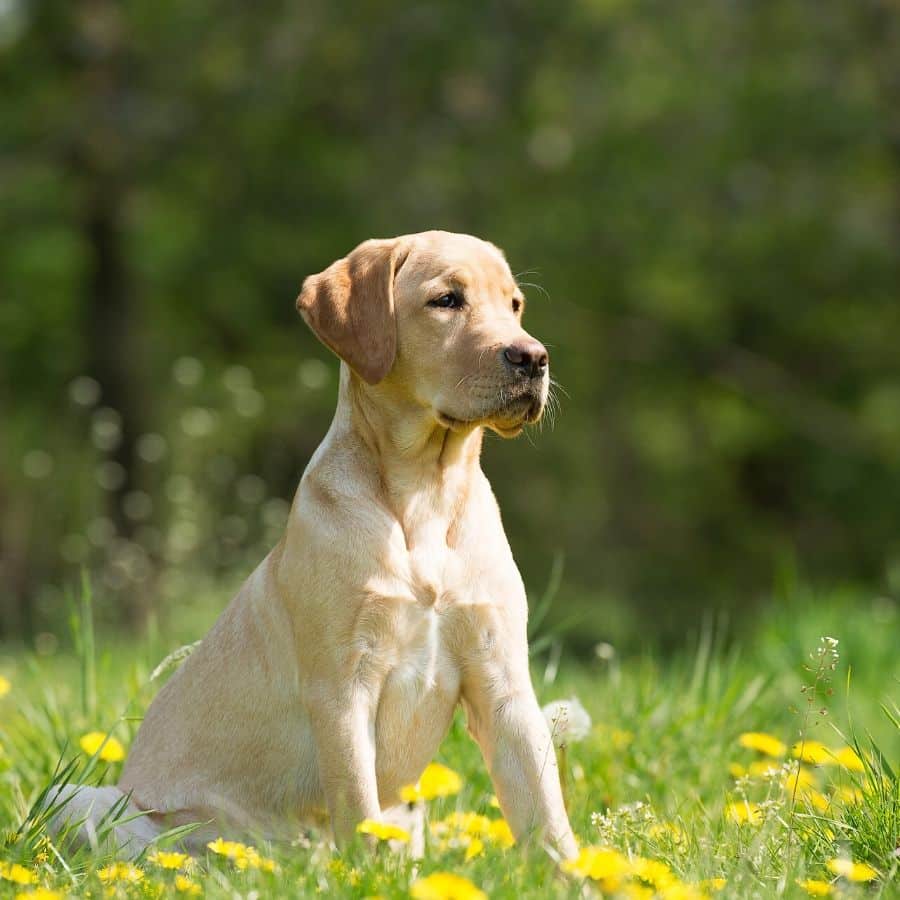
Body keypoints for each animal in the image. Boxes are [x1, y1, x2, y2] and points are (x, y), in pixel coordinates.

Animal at [49, 230, 580, 856]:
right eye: (446, 300)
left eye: (515, 305)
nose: (533, 358)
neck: (425, 493)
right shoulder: (342, 687)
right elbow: (358, 804)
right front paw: (368, 870)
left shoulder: (503, 683)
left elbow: (547, 813)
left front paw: (576, 872)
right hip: (81, 799)